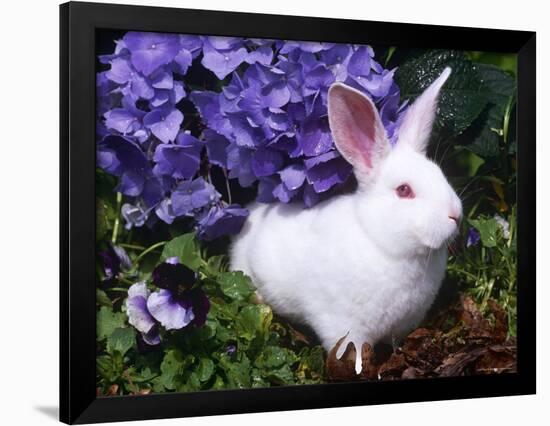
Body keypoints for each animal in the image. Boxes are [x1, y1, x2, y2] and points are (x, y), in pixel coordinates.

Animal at [231, 66, 464, 372]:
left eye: (440, 174)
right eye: (404, 190)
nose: (455, 215)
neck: (382, 244)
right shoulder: (344, 325)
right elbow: (352, 353)